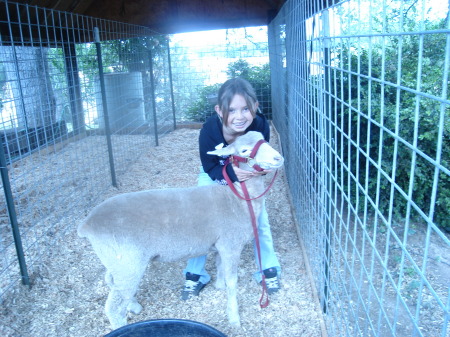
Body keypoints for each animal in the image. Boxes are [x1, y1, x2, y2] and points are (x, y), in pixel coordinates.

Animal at [75, 131, 284, 328]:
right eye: (244, 150)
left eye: (263, 138)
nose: (278, 158)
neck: (238, 198)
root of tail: (87, 224)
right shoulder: (230, 245)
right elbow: (233, 282)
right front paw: (234, 317)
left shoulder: (220, 245)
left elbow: (220, 267)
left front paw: (219, 287)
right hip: (128, 262)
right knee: (114, 306)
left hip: (116, 260)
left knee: (111, 281)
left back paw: (134, 306)